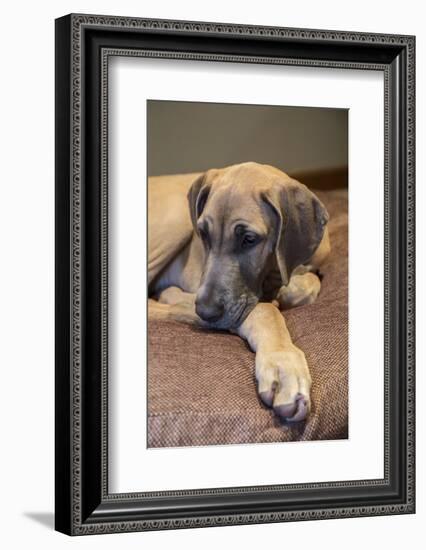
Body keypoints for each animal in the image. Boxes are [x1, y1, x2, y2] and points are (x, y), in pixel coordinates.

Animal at [148, 162, 332, 424]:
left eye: (249, 239)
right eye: (203, 234)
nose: (205, 311)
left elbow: (308, 283)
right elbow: (265, 311)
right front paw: (282, 364)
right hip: (177, 216)